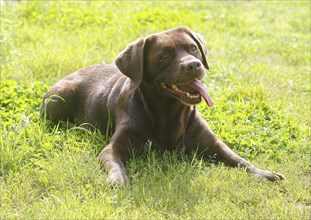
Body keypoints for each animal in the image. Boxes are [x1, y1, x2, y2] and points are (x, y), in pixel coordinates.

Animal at [41, 26, 286, 185]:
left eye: (193, 48)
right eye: (164, 56)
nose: (194, 65)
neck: (170, 113)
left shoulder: (213, 144)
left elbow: (240, 160)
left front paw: (265, 173)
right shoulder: (113, 148)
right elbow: (116, 165)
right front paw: (118, 181)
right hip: (58, 99)